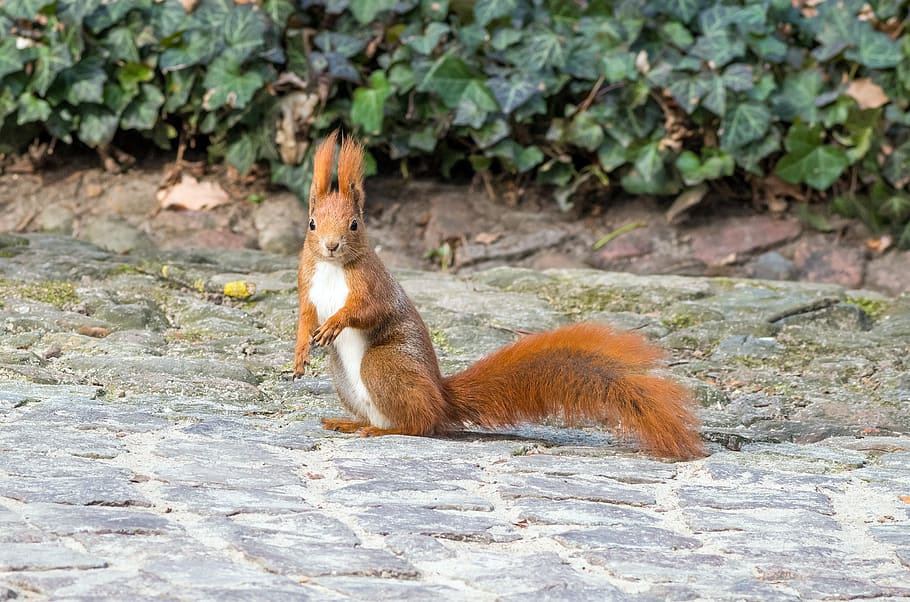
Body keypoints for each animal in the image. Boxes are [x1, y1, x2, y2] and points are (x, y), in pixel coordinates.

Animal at [294, 131, 705, 461]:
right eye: (312, 224)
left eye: (354, 225)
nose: (331, 246)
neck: (332, 268)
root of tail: (441, 397)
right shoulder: (307, 285)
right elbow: (305, 315)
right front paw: (300, 351)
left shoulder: (373, 285)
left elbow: (367, 310)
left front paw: (336, 323)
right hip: (345, 380)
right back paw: (347, 423)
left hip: (383, 365)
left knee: (420, 425)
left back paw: (383, 430)